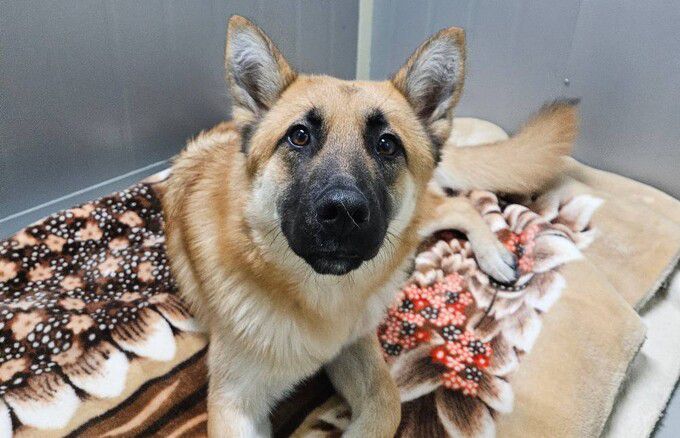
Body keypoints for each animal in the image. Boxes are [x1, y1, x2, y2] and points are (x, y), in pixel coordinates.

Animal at [162, 15, 577, 437]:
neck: (315, 295)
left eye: (387, 144)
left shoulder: (358, 345)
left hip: (411, 225)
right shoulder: (232, 402)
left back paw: (494, 256)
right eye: (299, 136)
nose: (343, 212)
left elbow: (389, 403)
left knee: (460, 204)